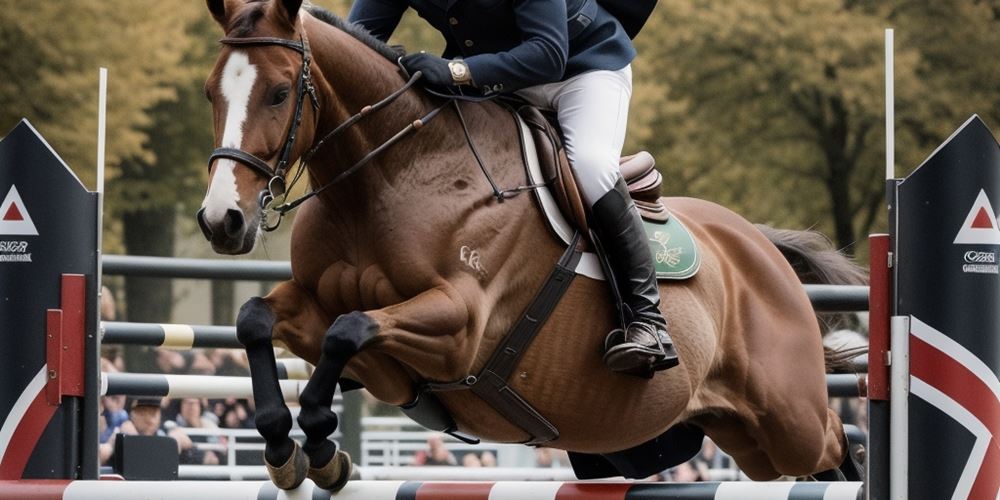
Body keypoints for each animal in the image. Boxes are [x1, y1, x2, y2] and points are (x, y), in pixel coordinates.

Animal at [197, 0, 868, 490]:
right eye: (210, 93)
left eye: (280, 92)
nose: (221, 220)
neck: (388, 175)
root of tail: (762, 247)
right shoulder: (324, 309)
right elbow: (257, 319)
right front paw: (288, 446)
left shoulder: (459, 325)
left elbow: (350, 330)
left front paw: (317, 441)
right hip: (745, 439)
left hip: (789, 418)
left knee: (839, 444)